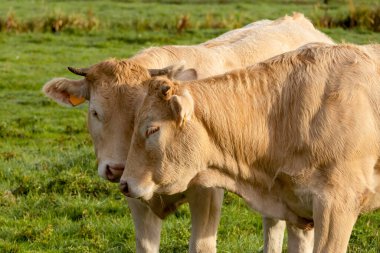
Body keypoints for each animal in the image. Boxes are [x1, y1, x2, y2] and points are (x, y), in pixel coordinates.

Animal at [42, 14, 332, 253]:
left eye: (140, 116)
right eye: (95, 112)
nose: (116, 168)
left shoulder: (207, 194)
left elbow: (201, 246)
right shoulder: (136, 196)